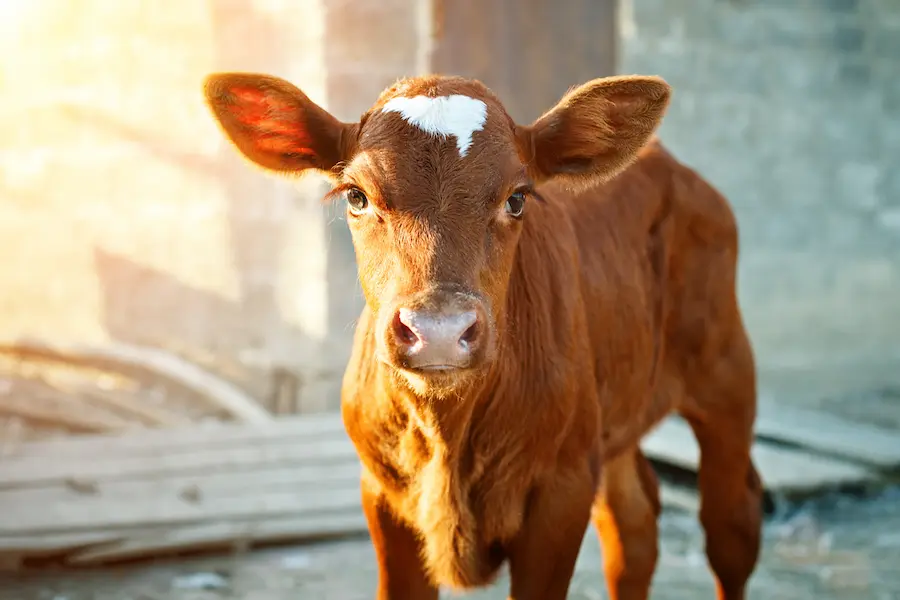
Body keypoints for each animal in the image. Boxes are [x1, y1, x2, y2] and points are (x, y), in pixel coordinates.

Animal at [203, 71, 763, 600]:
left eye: (517, 199)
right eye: (357, 196)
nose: (439, 330)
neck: (447, 436)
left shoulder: (562, 490)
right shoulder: (382, 491)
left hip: (727, 374)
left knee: (731, 526)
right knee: (634, 525)